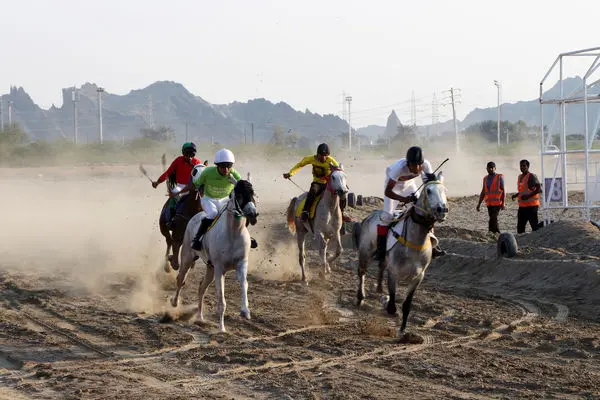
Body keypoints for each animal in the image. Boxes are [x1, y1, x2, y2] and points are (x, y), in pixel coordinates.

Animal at [171, 180, 260, 332]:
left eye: (253, 193)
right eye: (239, 194)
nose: (253, 214)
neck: (233, 232)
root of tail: (195, 216)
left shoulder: (241, 264)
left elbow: (244, 284)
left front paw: (245, 311)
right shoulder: (220, 269)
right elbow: (221, 301)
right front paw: (222, 329)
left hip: (210, 268)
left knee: (201, 287)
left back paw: (200, 317)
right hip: (187, 258)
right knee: (180, 279)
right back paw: (175, 303)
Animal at [354, 173, 448, 336]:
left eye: (444, 190)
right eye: (428, 190)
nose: (442, 209)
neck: (415, 242)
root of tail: (370, 215)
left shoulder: (418, 276)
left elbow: (407, 305)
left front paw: (403, 330)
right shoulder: (394, 272)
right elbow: (392, 304)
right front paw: (386, 303)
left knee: (380, 266)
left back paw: (379, 289)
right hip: (365, 251)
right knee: (362, 272)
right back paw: (361, 297)